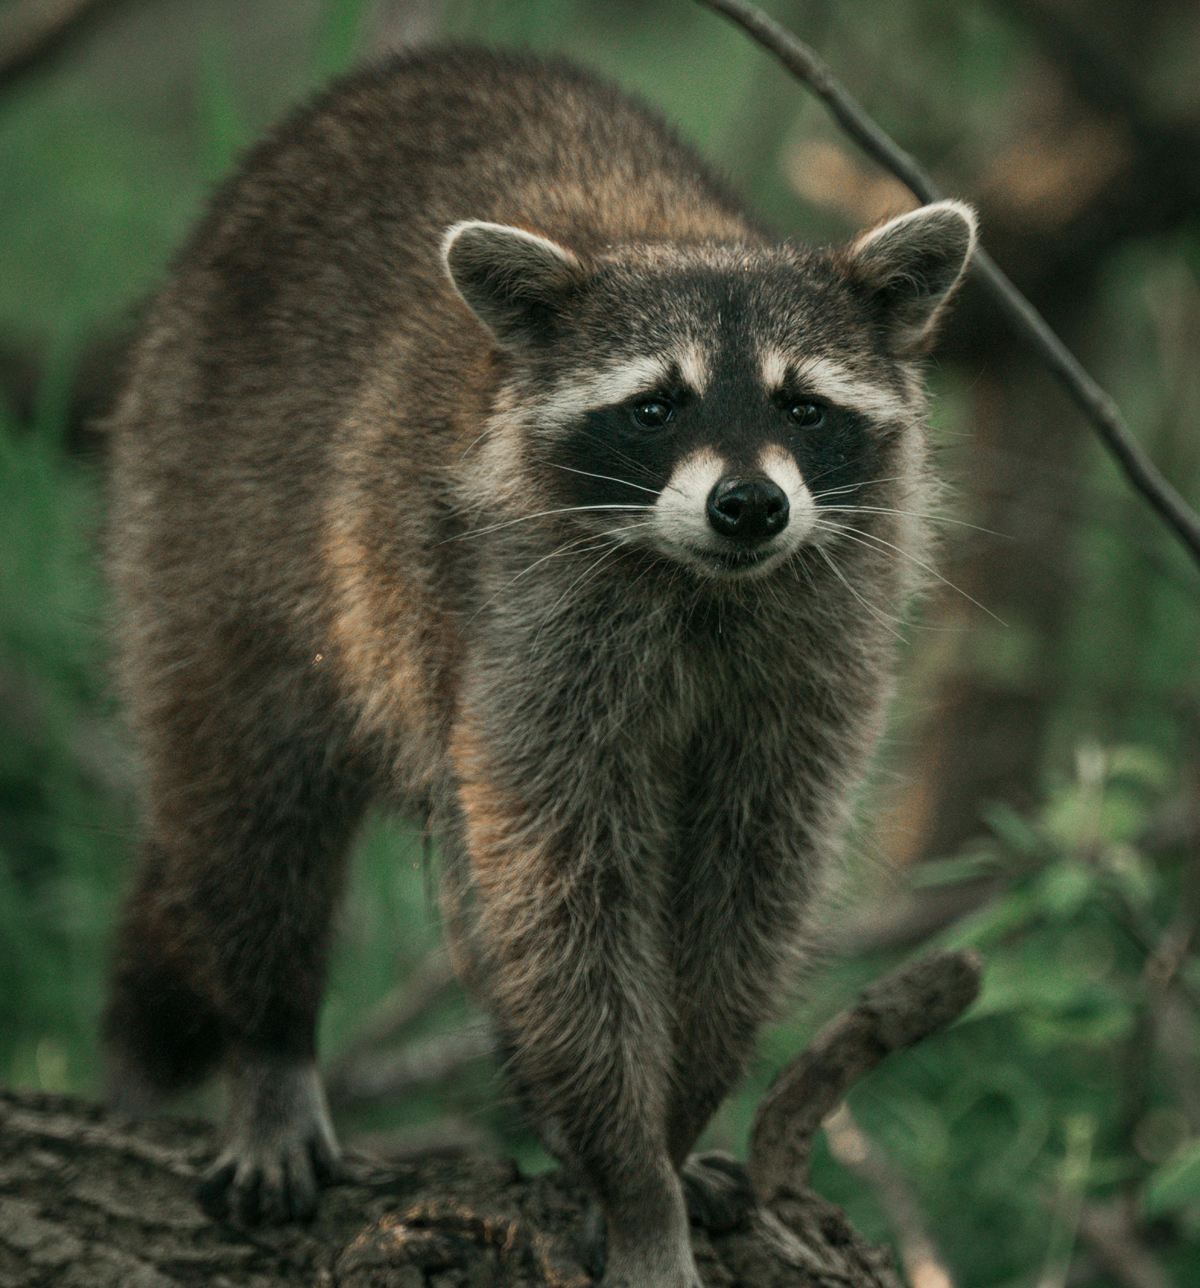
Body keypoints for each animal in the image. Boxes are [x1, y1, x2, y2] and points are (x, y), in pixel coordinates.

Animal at [103, 46, 975, 1288]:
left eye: (804, 406)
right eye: (655, 405)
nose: (750, 505)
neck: (699, 583)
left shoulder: (811, 666)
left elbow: (746, 888)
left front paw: (673, 1129)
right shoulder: (524, 636)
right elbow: (564, 908)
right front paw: (635, 1179)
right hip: (201, 500)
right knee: (249, 798)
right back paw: (270, 1042)